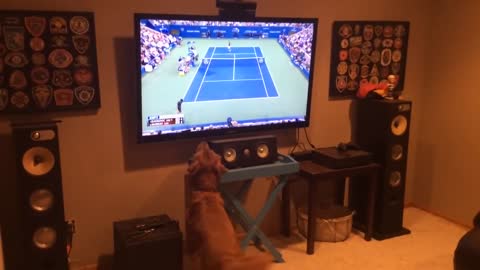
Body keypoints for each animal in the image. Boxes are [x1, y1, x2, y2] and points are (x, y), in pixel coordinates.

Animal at [186, 141, 272, 270]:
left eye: (203, 150)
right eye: (211, 151)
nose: (204, 142)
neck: (207, 191)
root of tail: (228, 260)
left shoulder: (191, 235)